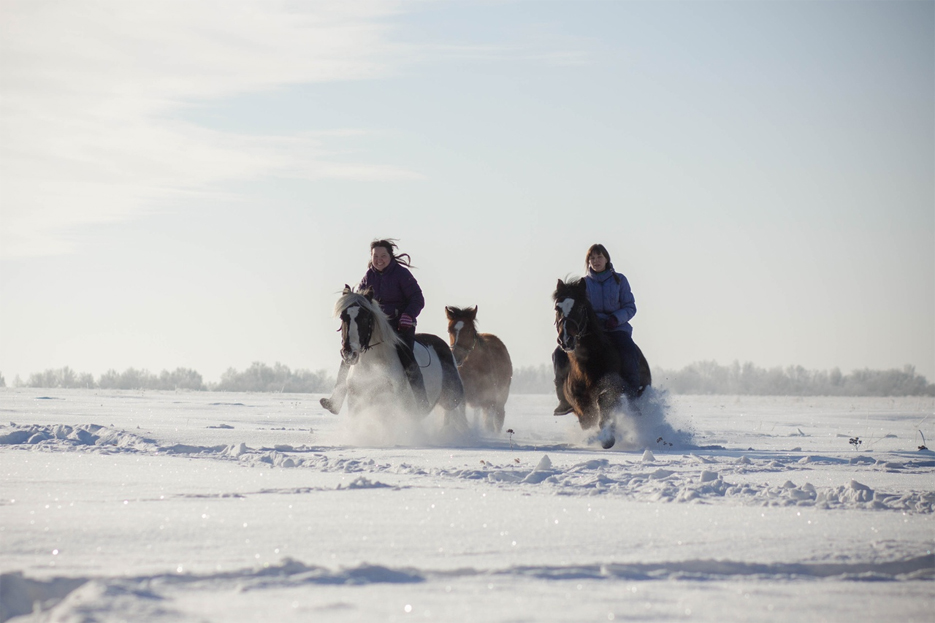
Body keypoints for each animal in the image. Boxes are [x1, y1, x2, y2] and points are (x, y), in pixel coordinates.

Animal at [444, 306, 512, 434]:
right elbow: (462, 421)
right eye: (449, 330)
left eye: (469, 330)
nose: (456, 357)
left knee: (499, 418)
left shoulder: (489, 400)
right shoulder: (462, 399)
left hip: (501, 398)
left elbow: (488, 425)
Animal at [556, 280, 652, 448]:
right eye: (557, 307)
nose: (566, 339)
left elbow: (605, 403)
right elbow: (588, 420)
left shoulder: (613, 391)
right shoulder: (578, 403)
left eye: (580, 307)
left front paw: (608, 438)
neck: (588, 367)